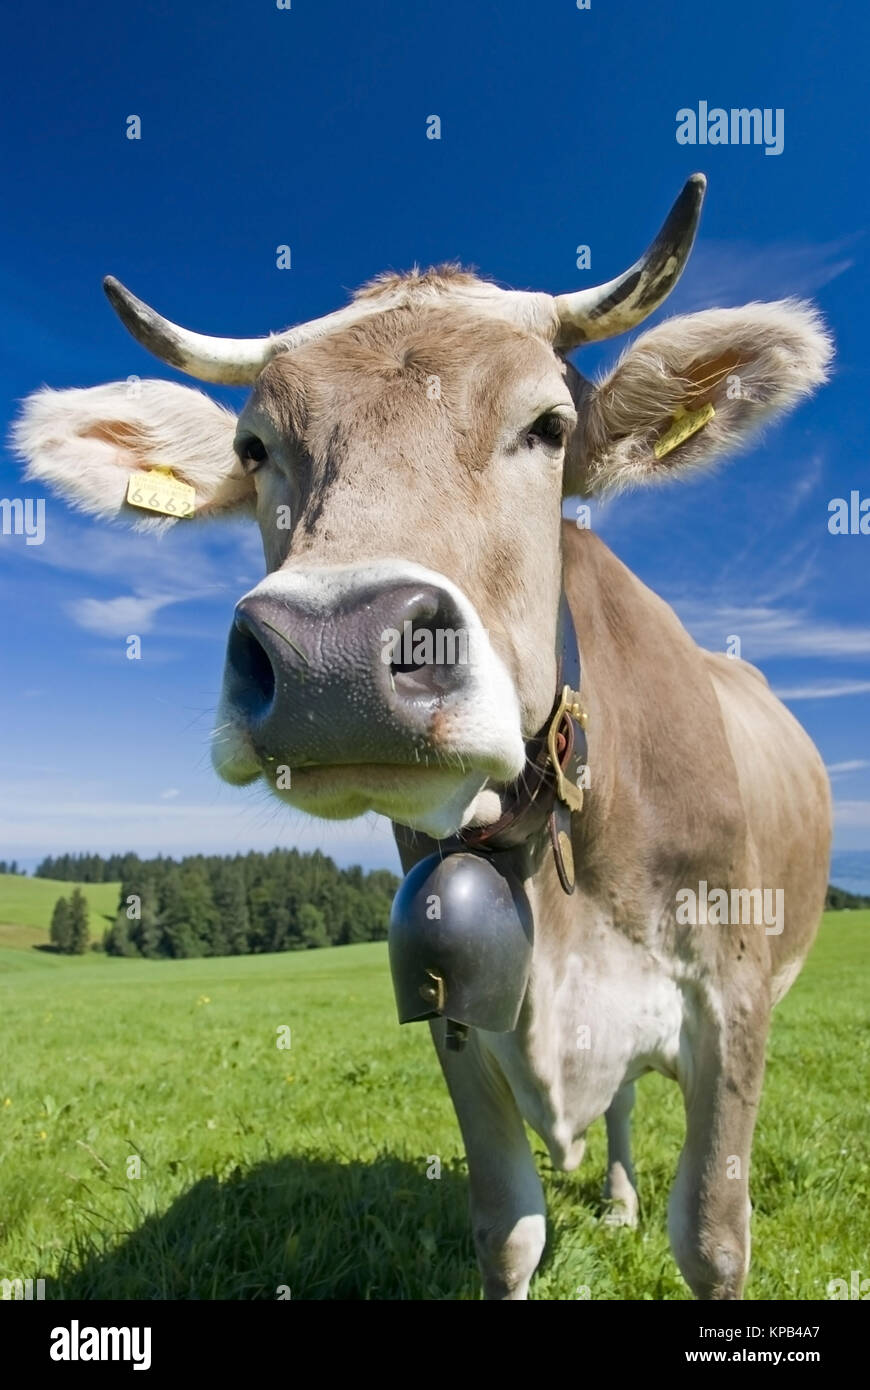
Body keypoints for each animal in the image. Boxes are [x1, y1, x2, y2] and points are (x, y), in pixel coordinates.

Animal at [10, 176, 828, 1301]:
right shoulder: (457, 1015)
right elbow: (508, 1230)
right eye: (254, 449)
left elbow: (711, 1239)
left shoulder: (735, 1002)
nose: (333, 657)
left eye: (548, 424)